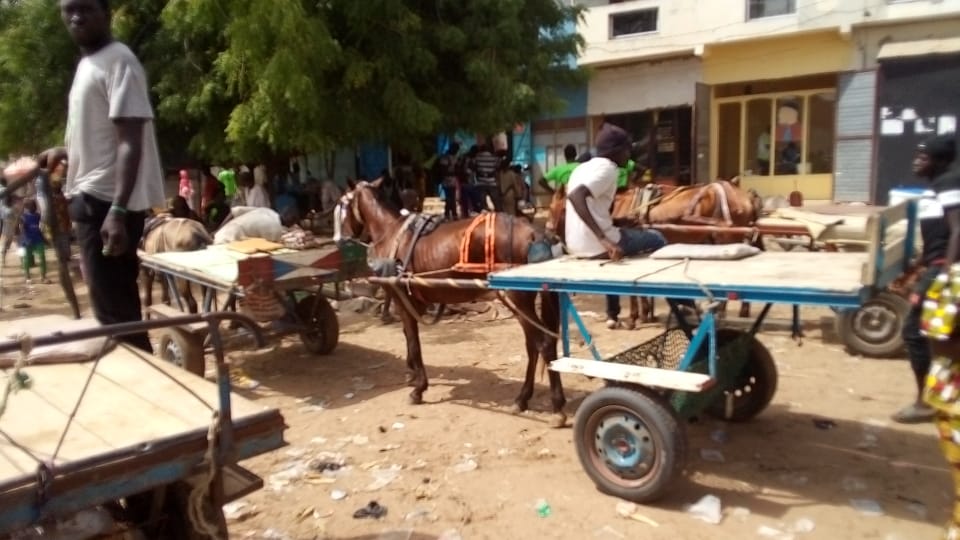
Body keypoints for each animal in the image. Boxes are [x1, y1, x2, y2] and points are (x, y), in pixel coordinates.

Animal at [334, 178, 567, 426]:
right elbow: (408, 338)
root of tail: (537, 234)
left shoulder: (402, 300)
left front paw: (418, 388)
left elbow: (414, 342)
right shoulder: (414, 302)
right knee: (534, 345)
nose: (339, 240)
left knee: (544, 343)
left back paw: (556, 407)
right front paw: (411, 374)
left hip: (516, 298)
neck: (391, 233)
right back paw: (522, 399)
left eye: (341, 206)